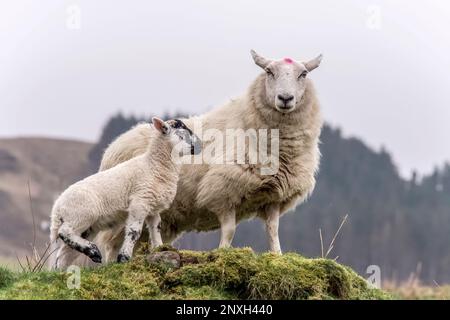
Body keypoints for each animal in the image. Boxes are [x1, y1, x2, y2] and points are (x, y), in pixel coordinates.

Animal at [48, 116, 200, 268]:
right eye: (182, 134)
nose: (198, 146)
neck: (154, 166)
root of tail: (57, 207)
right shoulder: (139, 202)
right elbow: (134, 232)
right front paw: (124, 257)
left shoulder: (153, 207)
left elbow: (156, 229)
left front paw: (160, 248)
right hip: (82, 214)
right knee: (64, 232)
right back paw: (93, 250)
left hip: (86, 227)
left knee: (64, 253)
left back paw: (65, 267)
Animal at [94, 50, 324, 256]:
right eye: (269, 71)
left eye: (303, 74)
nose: (285, 98)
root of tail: (111, 149)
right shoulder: (223, 189)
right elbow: (229, 230)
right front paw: (222, 253)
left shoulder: (274, 196)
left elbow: (273, 231)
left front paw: (277, 256)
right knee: (110, 245)